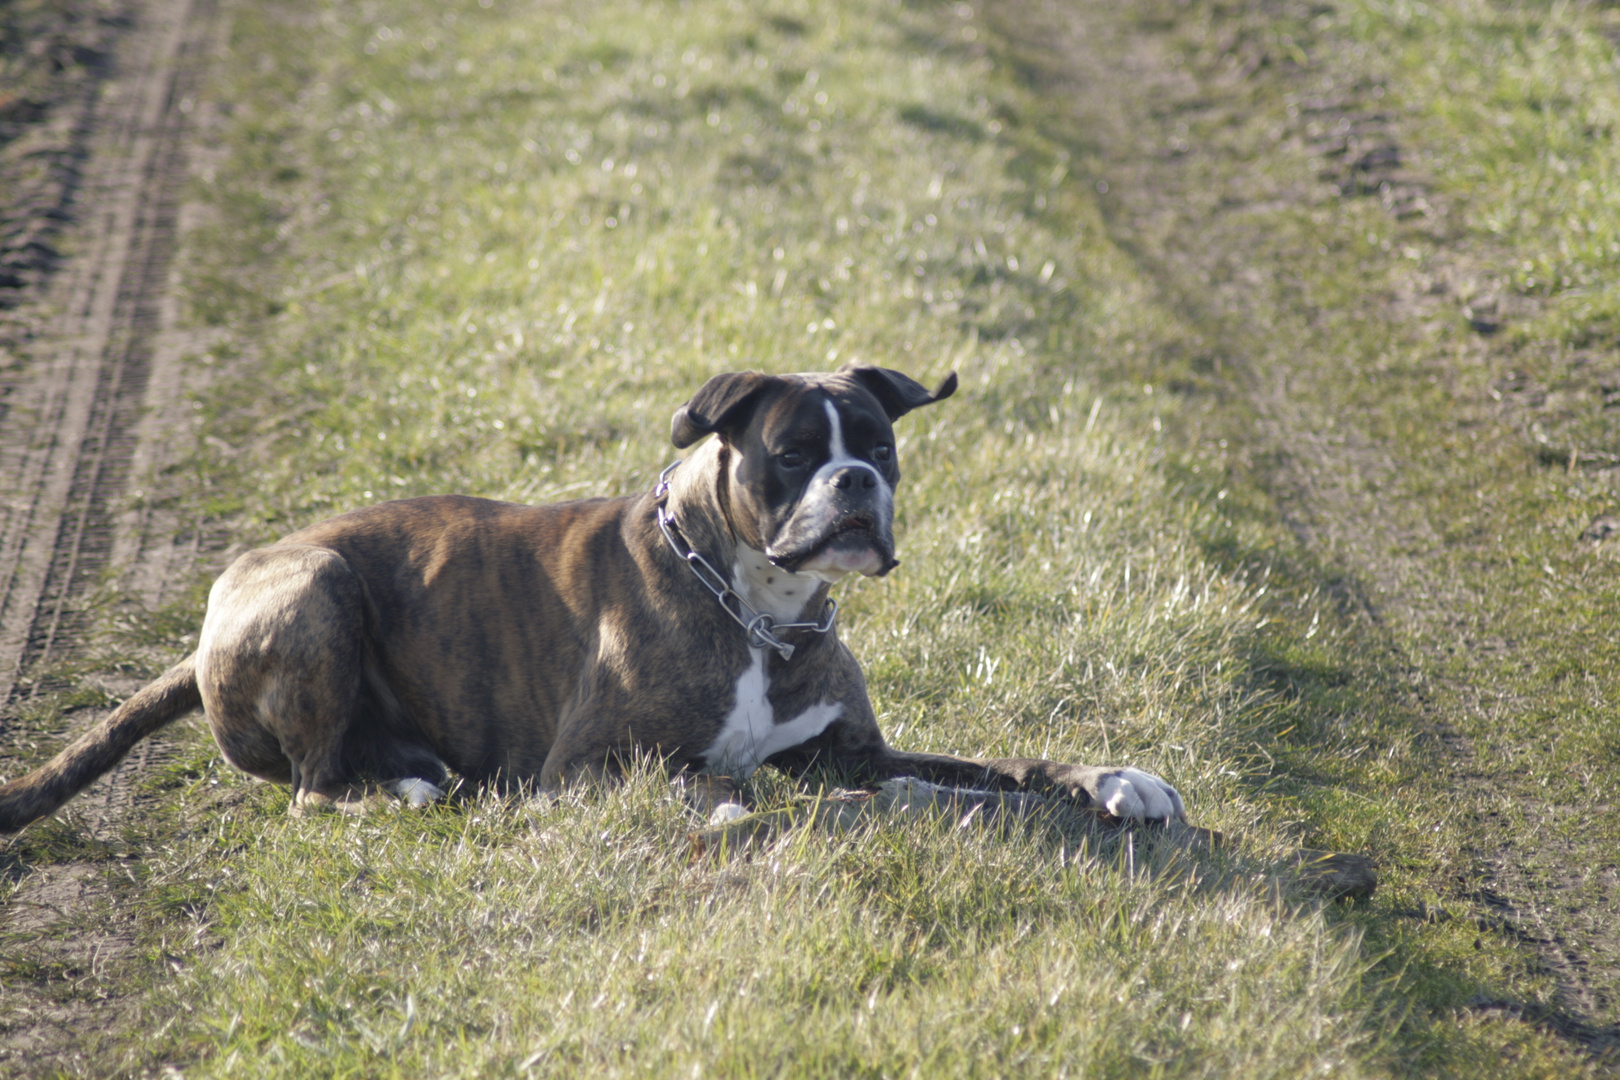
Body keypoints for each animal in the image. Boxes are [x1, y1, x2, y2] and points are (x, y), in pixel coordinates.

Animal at [0, 367, 1192, 835]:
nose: (855, 484)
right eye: (793, 452)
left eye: (882, 447)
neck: (760, 611)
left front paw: (1111, 781)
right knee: (312, 788)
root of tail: (207, 622)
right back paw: (403, 790)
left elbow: (993, 768)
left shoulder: (856, 747)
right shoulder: (593, 766)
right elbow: (748, 787)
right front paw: (754, 805)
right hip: (320, 584)